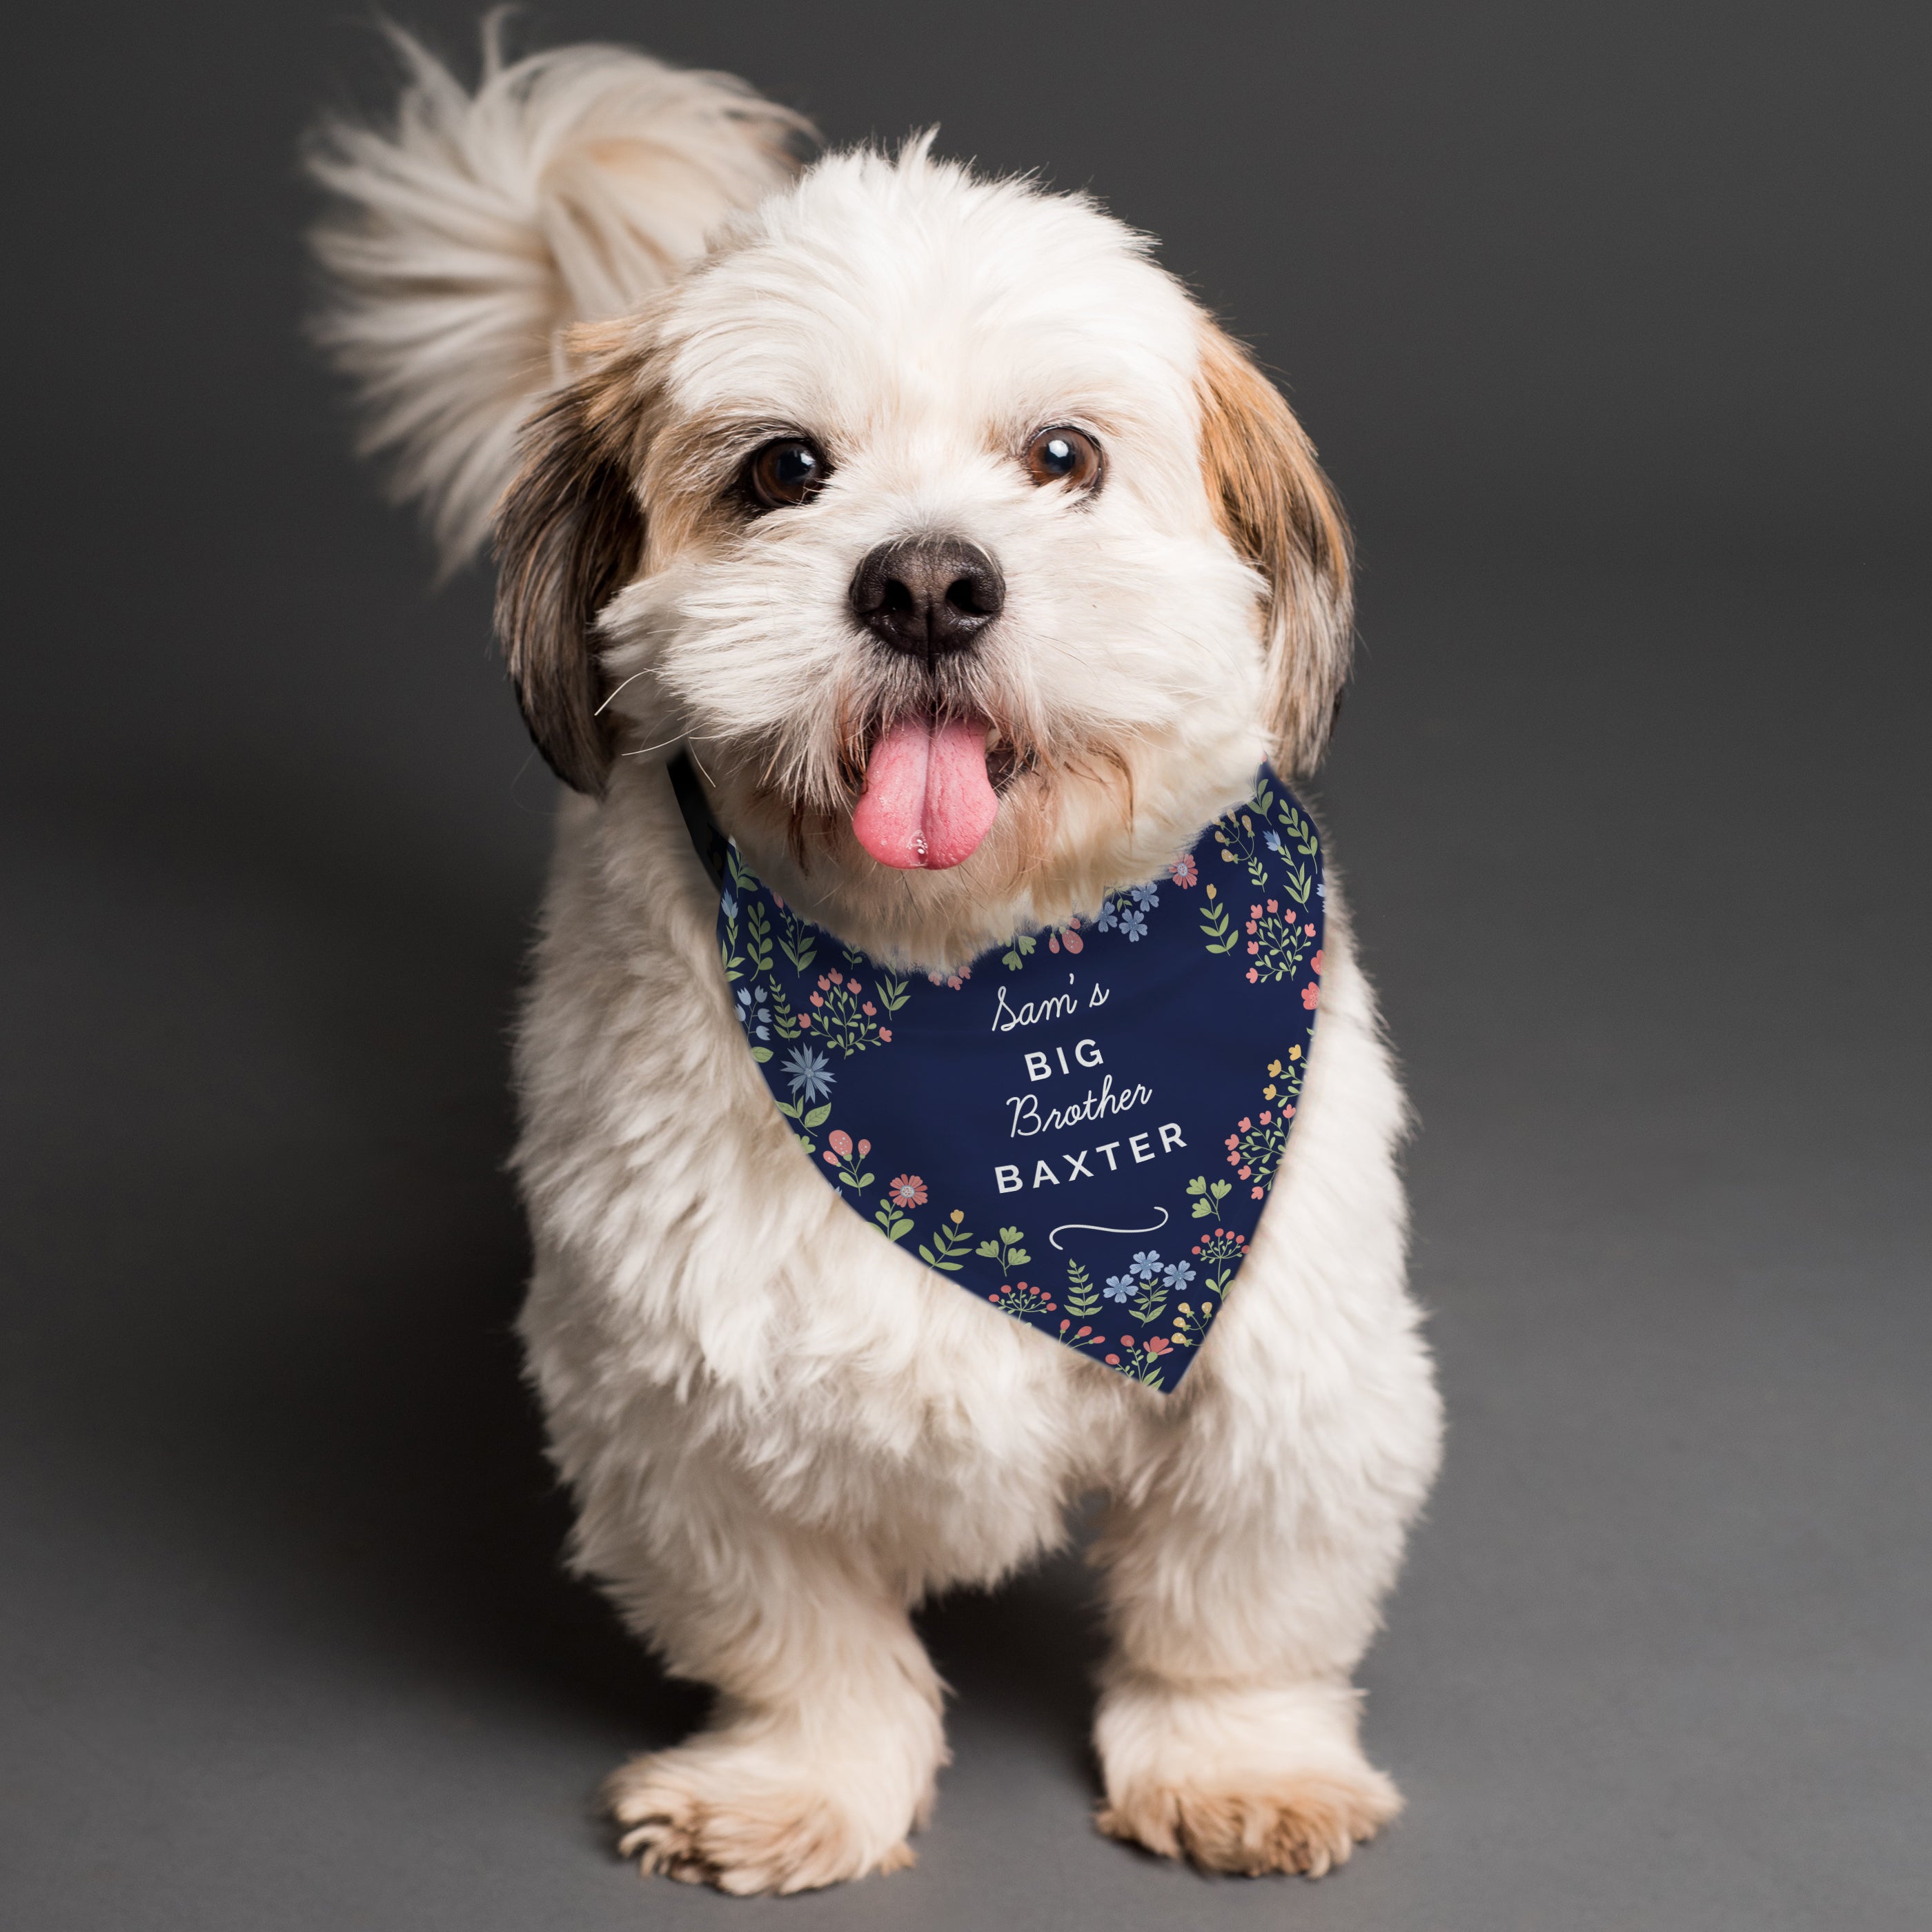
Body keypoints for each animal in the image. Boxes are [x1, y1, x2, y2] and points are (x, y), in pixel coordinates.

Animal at [309, 26, 1445, 1901]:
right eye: (782, 471)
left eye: (1061, 455)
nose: (925, 579)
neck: (964, 990)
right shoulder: (676, 1404)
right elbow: (803, 1638)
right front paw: (800, 1782)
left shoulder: (1283, 1364)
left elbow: (1233, 1607)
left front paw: (1239, 1760)